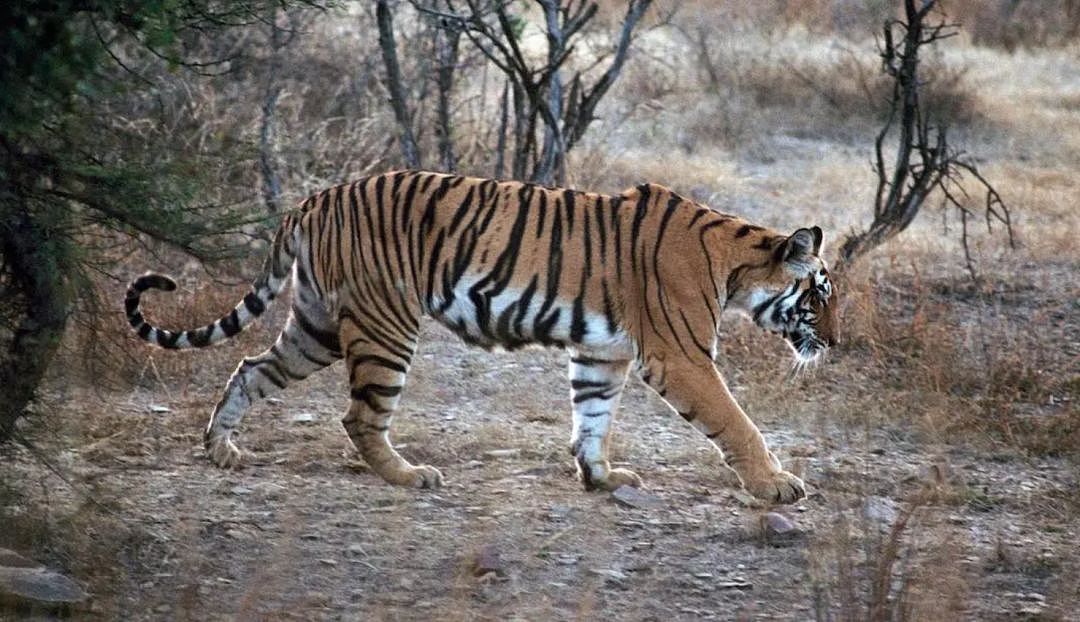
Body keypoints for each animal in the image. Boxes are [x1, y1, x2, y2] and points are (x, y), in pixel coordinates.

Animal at [124, 168, 833, 505]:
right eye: (819, 296)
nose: (833, 342)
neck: (736, 264)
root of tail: (313, 199)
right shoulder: (679, 355)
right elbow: (737, 422)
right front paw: (777, 486)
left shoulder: (603, 351)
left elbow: (592, 415)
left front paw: (601, 477)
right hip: (386, 324)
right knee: (359, 416)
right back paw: (409, 476)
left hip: (316, 326)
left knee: (249, 366)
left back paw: (221, 449)